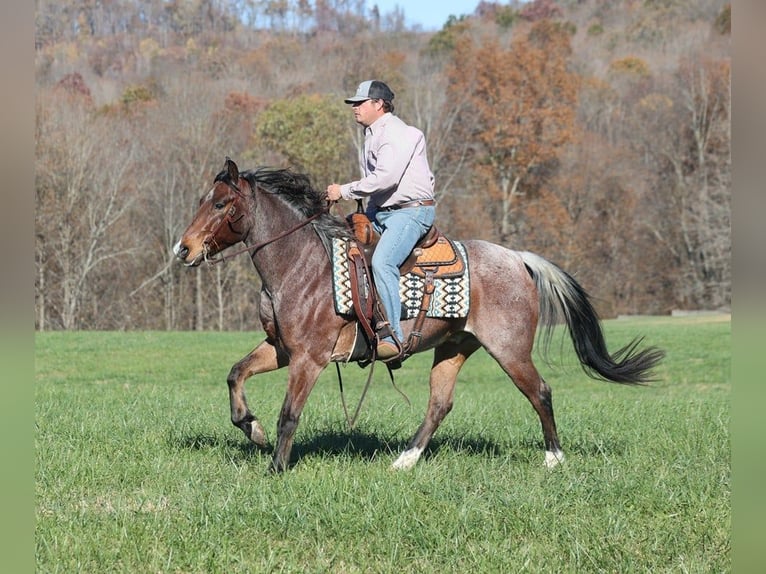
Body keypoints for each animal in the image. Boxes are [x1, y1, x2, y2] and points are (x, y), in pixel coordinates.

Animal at [173, 157, 664, 473]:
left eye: (220, 204)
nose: (183, 249)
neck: (302, 264)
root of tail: (517, 258)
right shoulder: (280, 348)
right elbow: (235, 374)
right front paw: (250, 428)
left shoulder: (309, 358)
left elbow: (289, 414)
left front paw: (275, 467)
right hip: (454, 347)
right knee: (439, 404)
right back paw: (405, 461)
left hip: (509, 349)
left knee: (539, 392)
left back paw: (554, 459)